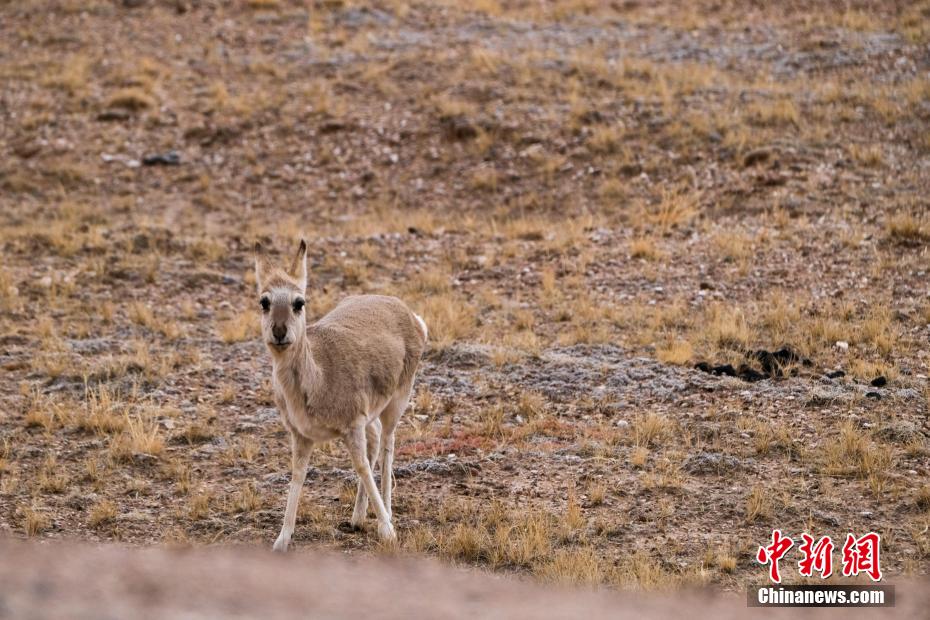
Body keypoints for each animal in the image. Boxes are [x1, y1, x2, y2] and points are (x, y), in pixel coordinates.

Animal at [253, 239, 428, 552]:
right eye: (265, 301)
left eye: (299, 302)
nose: (279, 332)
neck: (319, 376)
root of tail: (406, 311)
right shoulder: (302, 436)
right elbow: (297, 475)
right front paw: (282, 539)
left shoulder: (352, 426)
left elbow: (361, 466)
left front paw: (387, 531)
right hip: (372, 416)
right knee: (375, 442)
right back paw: (357, 518)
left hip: (395, 405)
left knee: (387, 446)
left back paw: (387, 512)